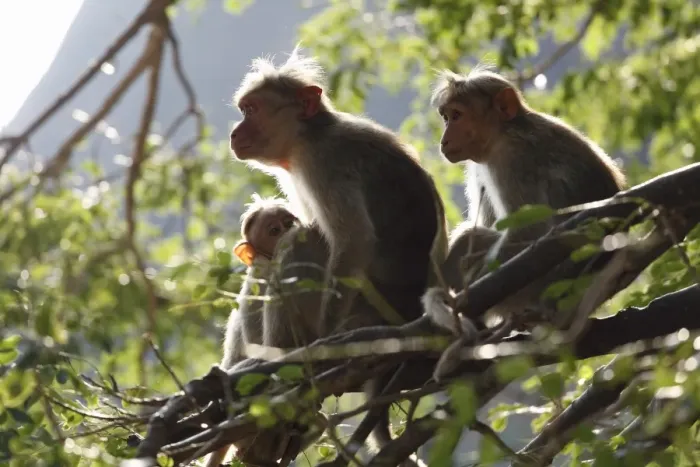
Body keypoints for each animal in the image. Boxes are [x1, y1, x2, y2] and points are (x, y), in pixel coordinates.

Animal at [227, 48, 448, 465]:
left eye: (252, 110)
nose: (235, 131)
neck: (307, 138)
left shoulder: (324, 163)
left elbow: (350, 240)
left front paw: (322, 347)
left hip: (368, 314)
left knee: (302, 242)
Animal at [425, 64, 626, 336]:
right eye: (446, 117)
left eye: (457, 116)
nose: (444, 140)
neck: (505, 131)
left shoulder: (512, 160)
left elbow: (527, 232)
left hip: (537, 289)